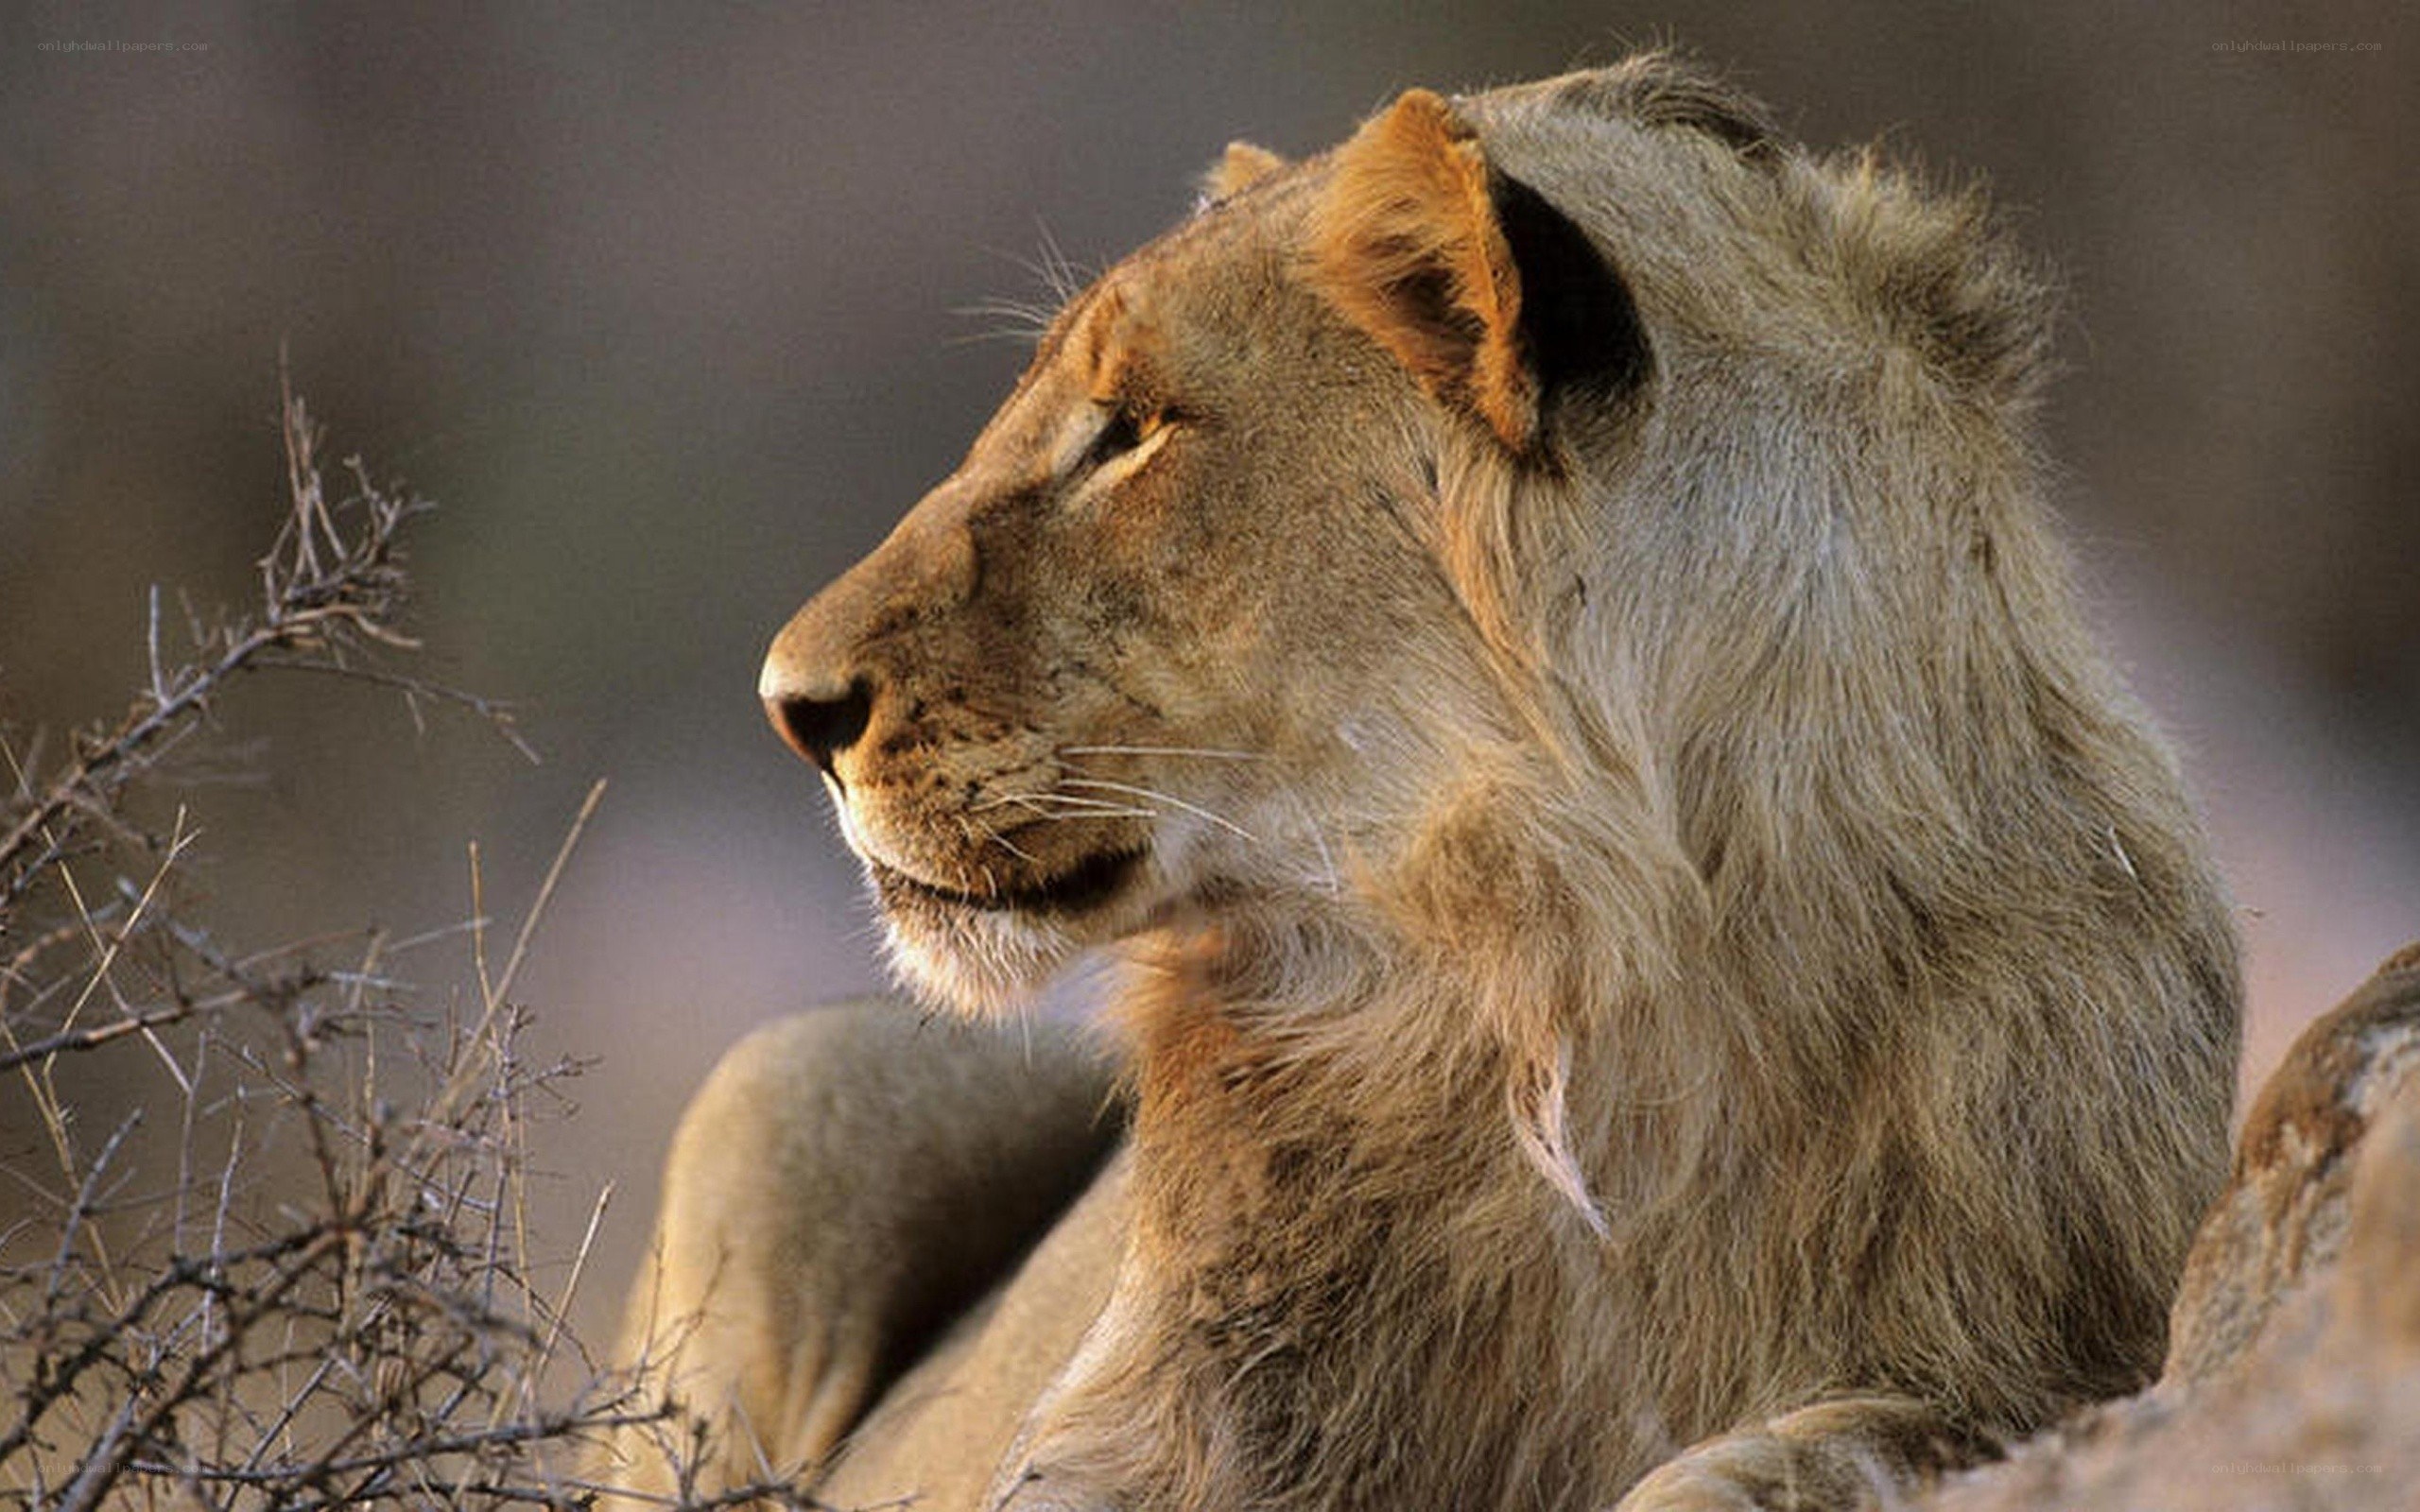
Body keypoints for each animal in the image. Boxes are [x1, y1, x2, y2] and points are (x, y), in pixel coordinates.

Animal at [599, 55, 2242, 1512]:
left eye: (1133, 430)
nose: (791, 707)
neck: (1554, 984)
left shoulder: (2046, 1358)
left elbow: (1797, 1452)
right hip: (796, 1079)